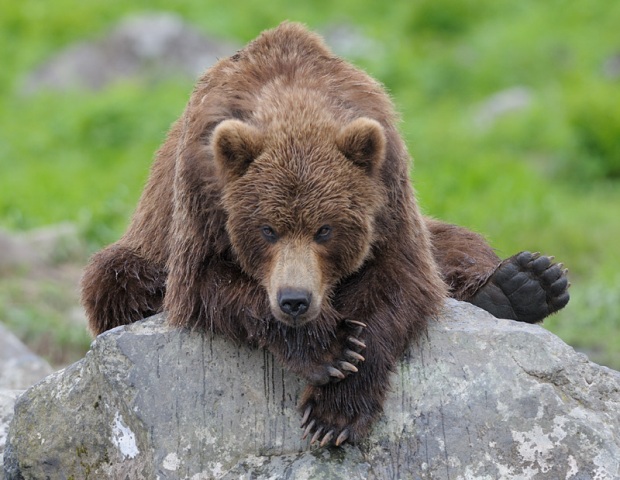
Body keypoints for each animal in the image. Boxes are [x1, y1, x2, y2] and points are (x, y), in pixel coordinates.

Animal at [80, 23, 568, 446]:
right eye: (267, 229)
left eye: (325, 229)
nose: (295, 300)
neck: (293, 99)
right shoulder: (202, 194)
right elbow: (205, 282)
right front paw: (330, 348)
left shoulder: (387, 188)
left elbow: (402, 280)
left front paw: (336, 410)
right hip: (144, 244)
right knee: (115, 274)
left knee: (457, 242)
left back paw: (524, 283)